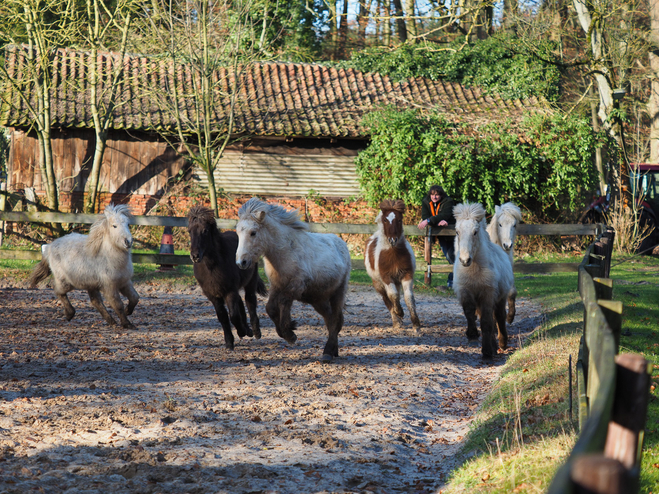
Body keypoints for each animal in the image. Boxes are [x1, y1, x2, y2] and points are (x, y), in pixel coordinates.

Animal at [186, 206, 266, 350]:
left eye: (205, 230)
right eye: (189, 231)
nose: (195, 256)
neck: (212, 266)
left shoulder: (229, 291)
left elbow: (233, 316)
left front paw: (242, 332)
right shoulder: (213, 295)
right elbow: (223, 316)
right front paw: (229, 342)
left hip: (250, 281)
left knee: (250, 300)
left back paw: (255, 331)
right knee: (240, 302)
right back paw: (247, 329)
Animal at [236, 197, 354, 362]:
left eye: (253, 233)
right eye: (238, 233)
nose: (241, 262)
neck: (285, 252)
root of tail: (341, 243)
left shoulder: (296, 286)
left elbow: (283, 302)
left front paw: (290, 333)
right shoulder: (276, 286)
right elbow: (270, 308)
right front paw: (288, 330)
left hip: (338, 293)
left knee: (335, 320)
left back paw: (327, 352)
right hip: (318, 300)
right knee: (331, 320)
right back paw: (333, 351)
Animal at [364, 198, 420, 332]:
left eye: (399, 220)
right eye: (385, 220)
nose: (393, 240)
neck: (393, 255)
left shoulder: (406, 275)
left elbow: (408, 297)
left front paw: (416, 324)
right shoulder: (386, 277)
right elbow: (392, 296)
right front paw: (400, 313)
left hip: (397, 281)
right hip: (378, 283)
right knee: (387, 299)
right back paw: (396, 321)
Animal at [454, 201, 516, 358]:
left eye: (475, 232)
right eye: (457, 231)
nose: (465, 260)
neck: (475, 270)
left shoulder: (488, 294)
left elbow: (487, 322)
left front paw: (487, 351)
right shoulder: (466, 291)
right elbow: (469, 312)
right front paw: (472, 333)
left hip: (500, 298)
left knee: (499, 316)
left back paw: (502, 343)